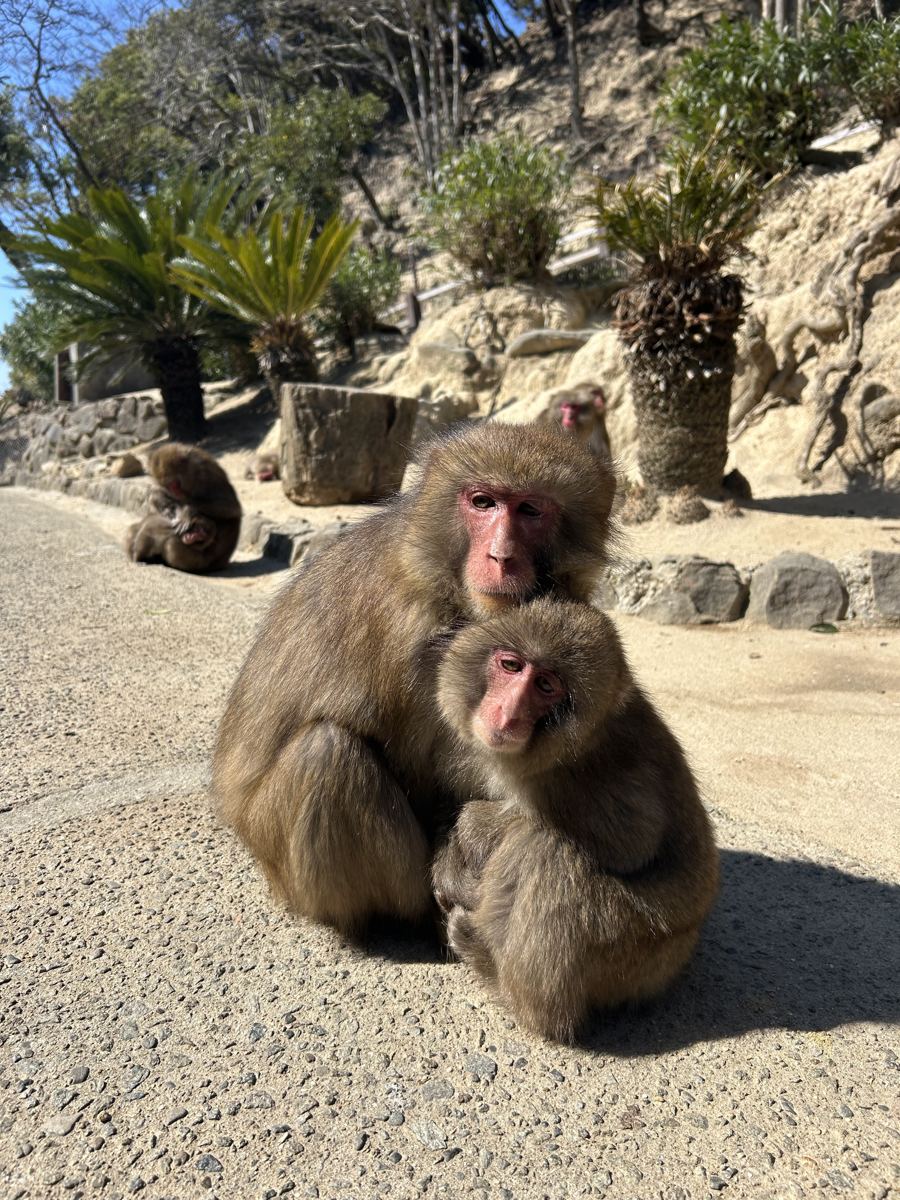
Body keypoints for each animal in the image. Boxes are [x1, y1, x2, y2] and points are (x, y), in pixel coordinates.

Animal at [125, 443, 242, 574]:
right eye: (168, 486)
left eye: (175, 483)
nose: (175, 492)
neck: (192, 474)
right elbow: (156, 493)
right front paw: (167, 507)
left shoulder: (208, 475)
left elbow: (231, 507)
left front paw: (187, 511)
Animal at [212, 423, 618, 938]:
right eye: (483, 502)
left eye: (530, 510)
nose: (501, 556)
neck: (448, 587)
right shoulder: (418, 641)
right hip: (288, 865)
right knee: (326, 754)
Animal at [431, 598, 719, 1043]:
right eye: (511, 666)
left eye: (546, 686)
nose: (507, 713)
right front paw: (452, 861)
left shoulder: (580, 775)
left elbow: (633, 843)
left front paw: (474, 828)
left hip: (638, 950)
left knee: (547, 851)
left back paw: (502, 978)